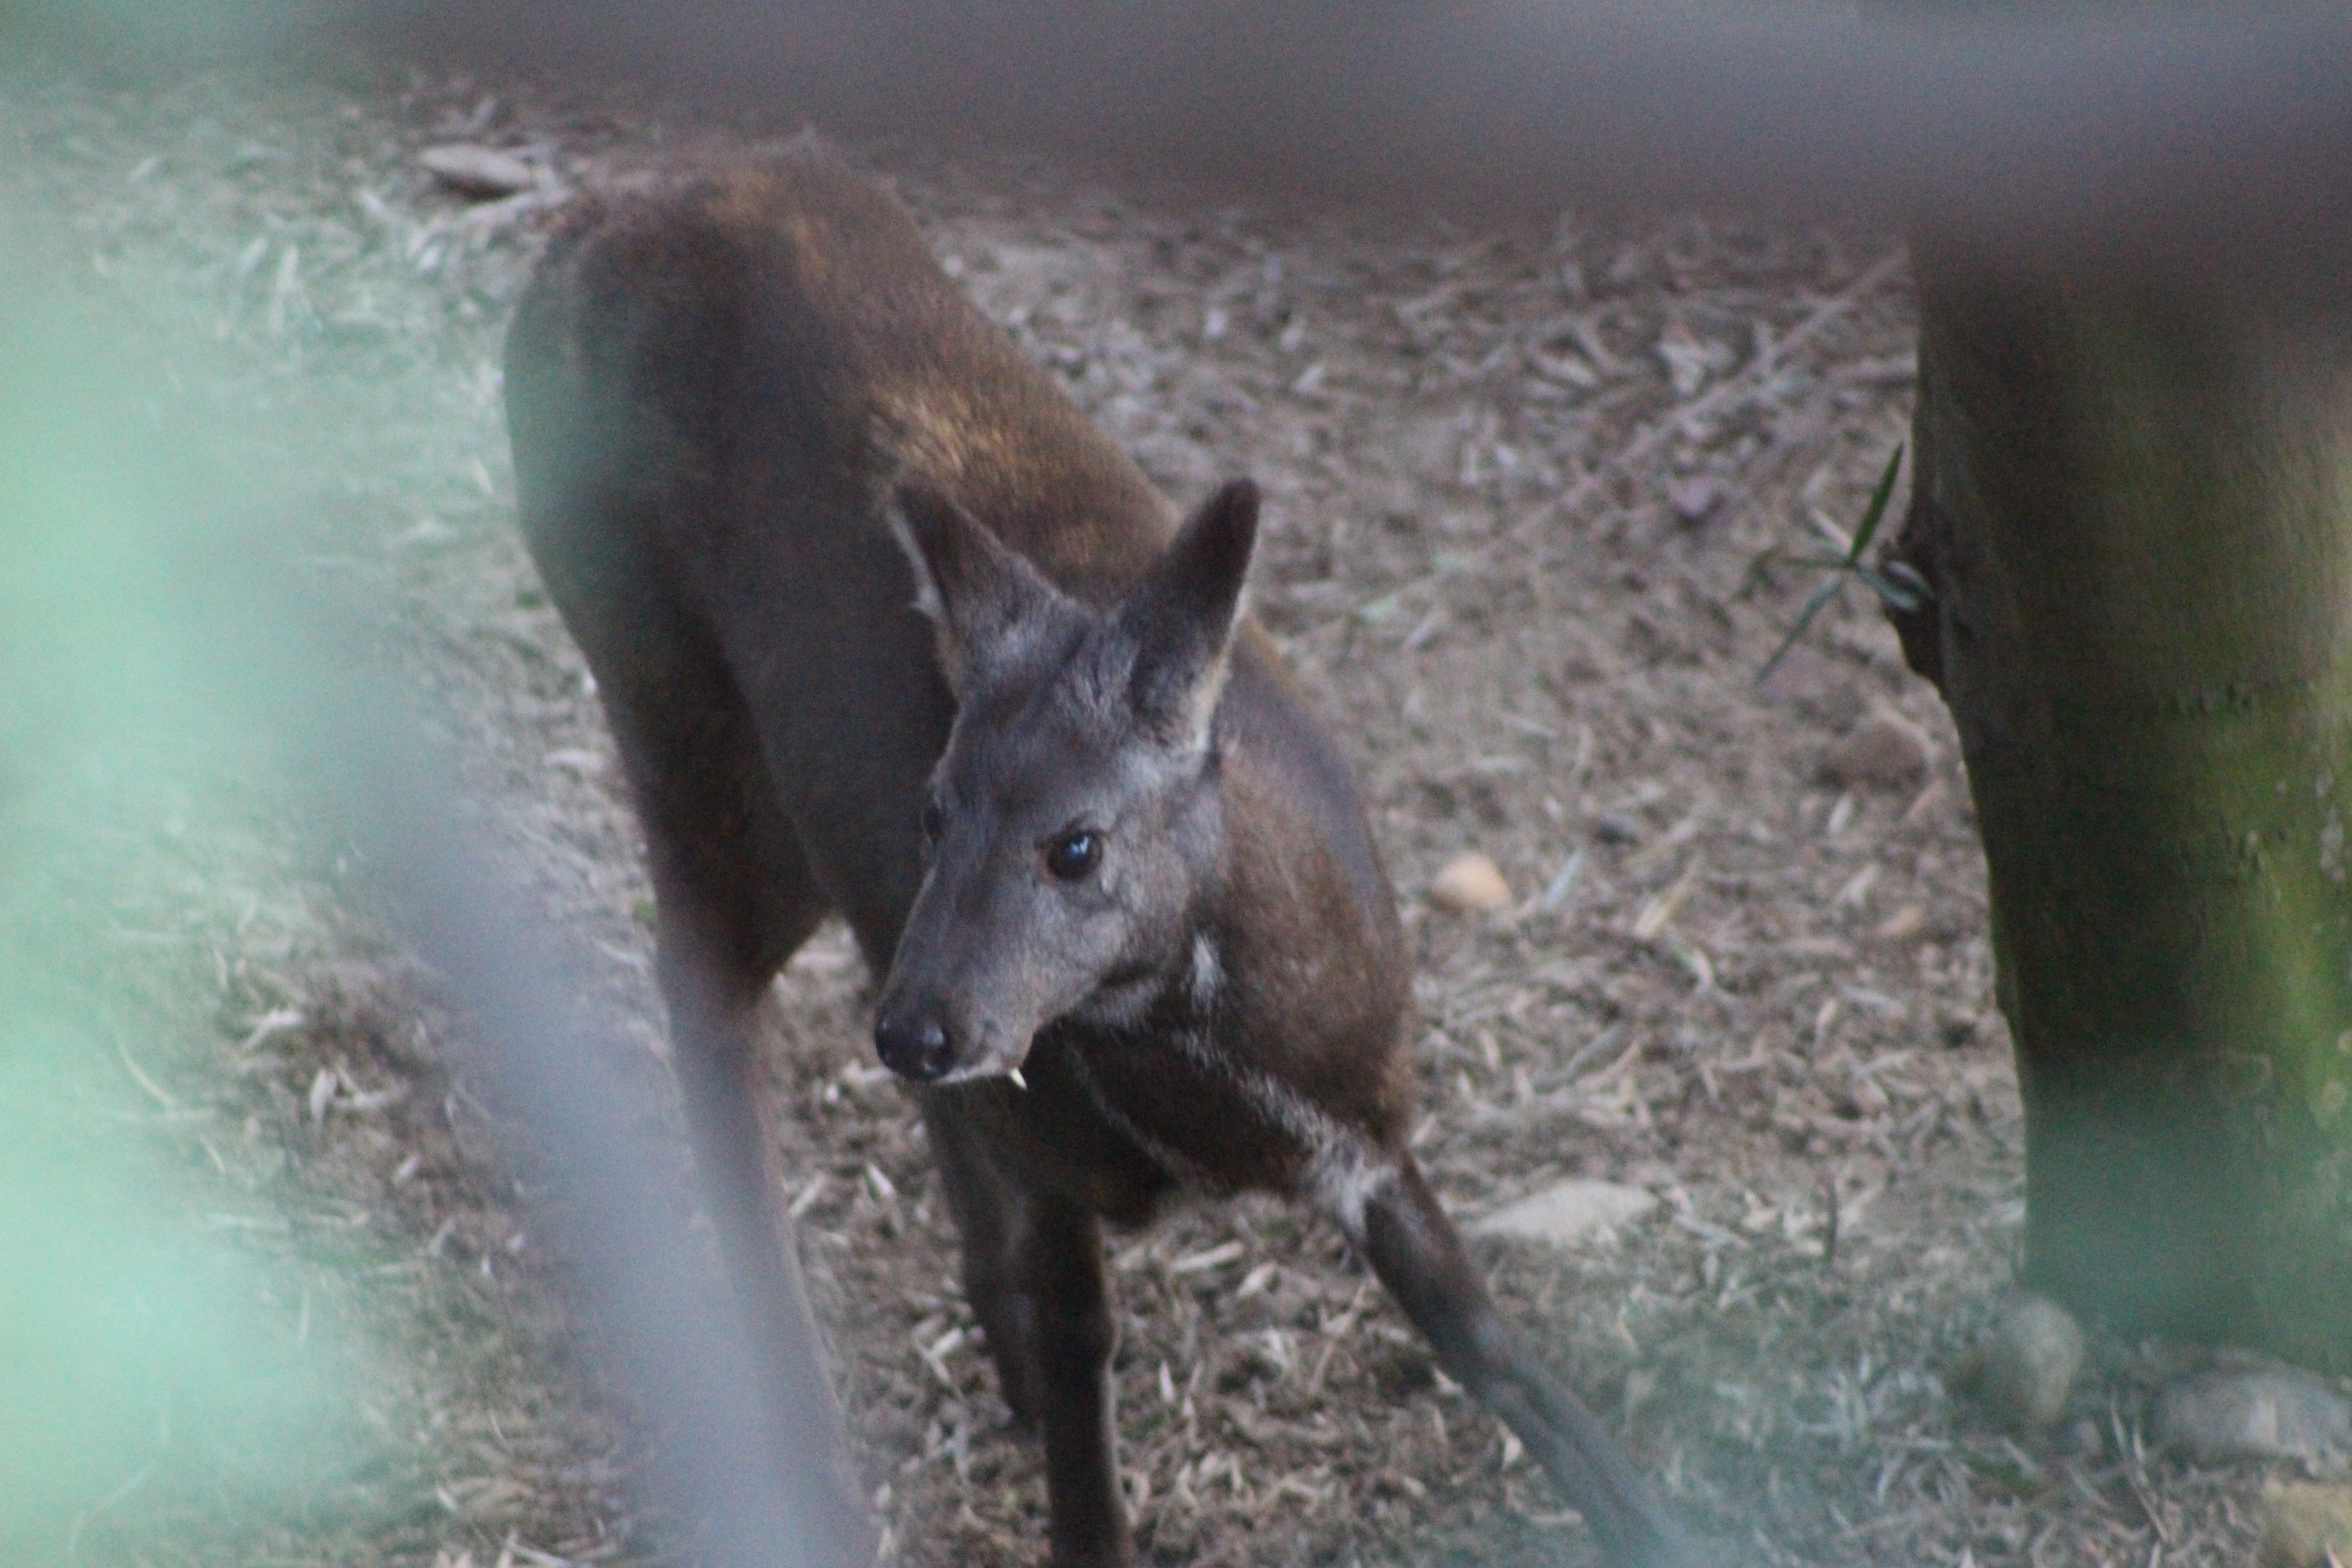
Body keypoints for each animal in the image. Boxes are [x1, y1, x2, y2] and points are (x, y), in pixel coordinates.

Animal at [504, 150, 1703, 1568]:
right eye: (936, 808)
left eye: (1076, 844)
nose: (924, 1030)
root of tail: (584, 225)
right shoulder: (1051, 1141)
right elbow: (1089, 1374)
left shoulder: (1367, 1124)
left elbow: (1486, 1332)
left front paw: (1672, 1520)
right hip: (680, 715)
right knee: (709, 997)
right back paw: (810, 1459)